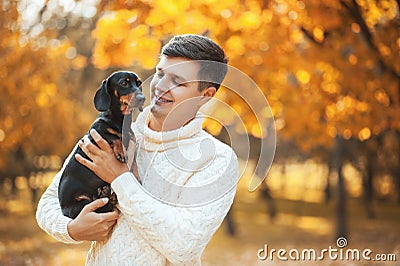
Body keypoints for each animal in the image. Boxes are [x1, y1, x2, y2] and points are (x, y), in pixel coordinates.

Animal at [57, 70, 145, 218]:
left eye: (139, 83)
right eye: (124, 83)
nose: (142, 98)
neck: (120, 121)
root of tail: (63, 209)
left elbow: (134, 163)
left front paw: (137, 177)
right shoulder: (96, 133)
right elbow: (114, 136)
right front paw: (121, 152)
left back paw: (106, 194)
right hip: (83, 205)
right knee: (103, 206)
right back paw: (107, 196)